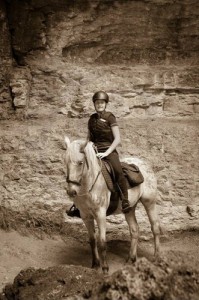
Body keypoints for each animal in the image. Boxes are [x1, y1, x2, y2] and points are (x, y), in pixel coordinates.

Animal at [64, 137, 161, 274]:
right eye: (66, 162)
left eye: (80, 162)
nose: (71, 191)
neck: (88, 185)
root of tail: (144, 164)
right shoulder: (85, 216)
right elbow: (92, 240)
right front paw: (95, 265)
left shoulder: (100, 214)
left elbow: (102, 242)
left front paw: (105, 268)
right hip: (129, 208)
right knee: (134, 230)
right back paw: (131, 259)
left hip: (149, 202)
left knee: (155, 227)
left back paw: (156, 257)